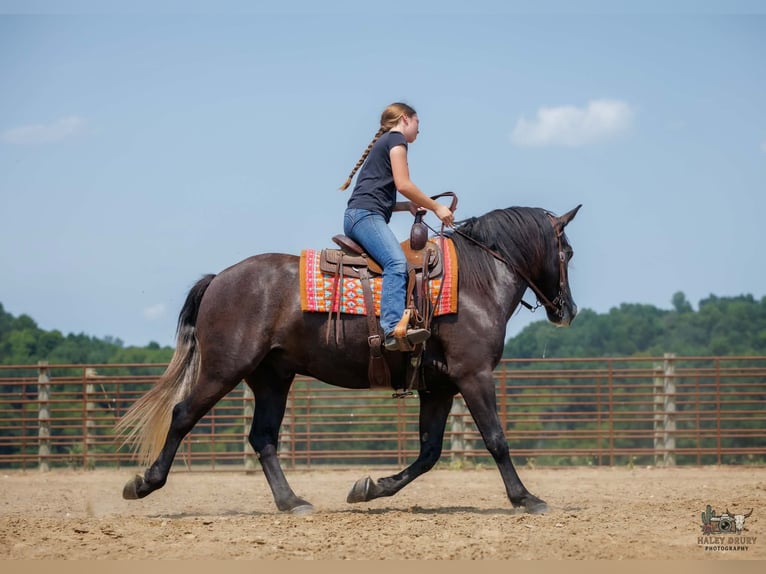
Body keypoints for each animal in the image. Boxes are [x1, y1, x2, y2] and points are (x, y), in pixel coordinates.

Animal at [117, 203, 582, 515]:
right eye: (569, 252)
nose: (568, 310)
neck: (474, 281)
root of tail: (220, 279)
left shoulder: (439, 387)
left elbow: (429, 452)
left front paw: (369, 488)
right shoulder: (474, 375)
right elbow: (496, 439)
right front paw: (526, 498)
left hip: (272, 378)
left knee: (263, 437)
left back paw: (292, 501)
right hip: (224, 369)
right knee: (183, 415)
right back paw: (144, 484)